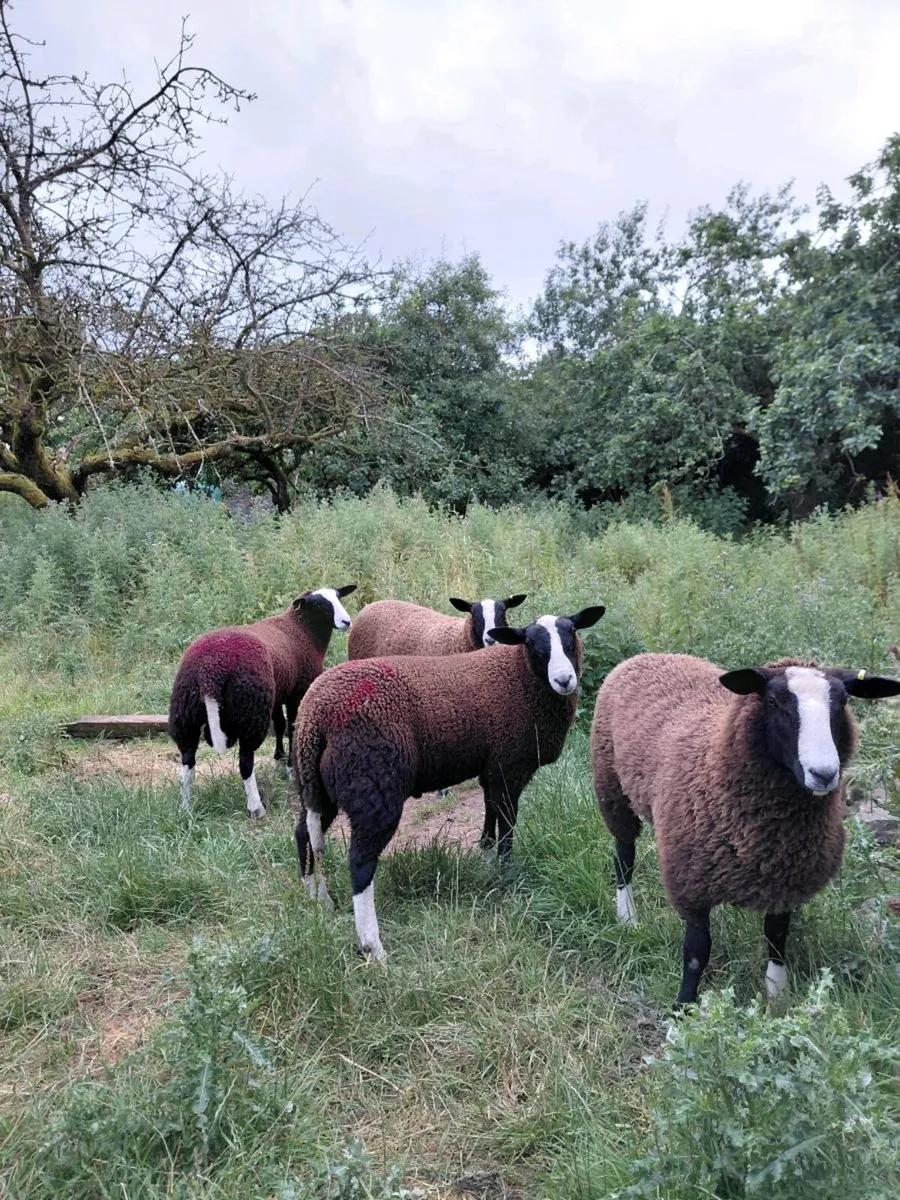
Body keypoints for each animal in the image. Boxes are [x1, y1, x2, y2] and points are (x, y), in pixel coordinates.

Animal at [168, 585, 357, 817]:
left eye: (339, 597)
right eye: (320, 604)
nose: (346, 622)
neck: (301, 630)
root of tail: (210, 670)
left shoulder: (277, 693)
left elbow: (280, 725)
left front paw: (280, 761)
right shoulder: (297, 692)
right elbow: (292, 726)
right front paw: (290, 767)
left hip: (186, 711)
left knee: (188, 758)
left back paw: (185, 807)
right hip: (252, 708)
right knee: (246, 761)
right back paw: (256, 807)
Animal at [291, 605, 605, 960]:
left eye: (571, 634)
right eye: (532, 644)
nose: (564, 680)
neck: (521, 677)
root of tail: (316, 715)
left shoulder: (491, 766)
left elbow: (490, 809)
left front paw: (485, 852)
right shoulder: (510, 765)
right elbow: (508, 821)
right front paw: (506, 871)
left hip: (316, 785)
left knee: (304, 833)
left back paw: (319, 899)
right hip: (373, 784)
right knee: (360, 863)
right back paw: (373, 946)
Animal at [590, 652, 900, 1004]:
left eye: (843, 701)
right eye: (773, 700)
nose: (823, 774)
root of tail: (652, 656)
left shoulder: (785, 880)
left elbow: (776, 936)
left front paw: (777, 992)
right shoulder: (690, 881)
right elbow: (696, 952)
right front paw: (683, 1007)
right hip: (612, 788)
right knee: (623, 854)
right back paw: (627, 917)